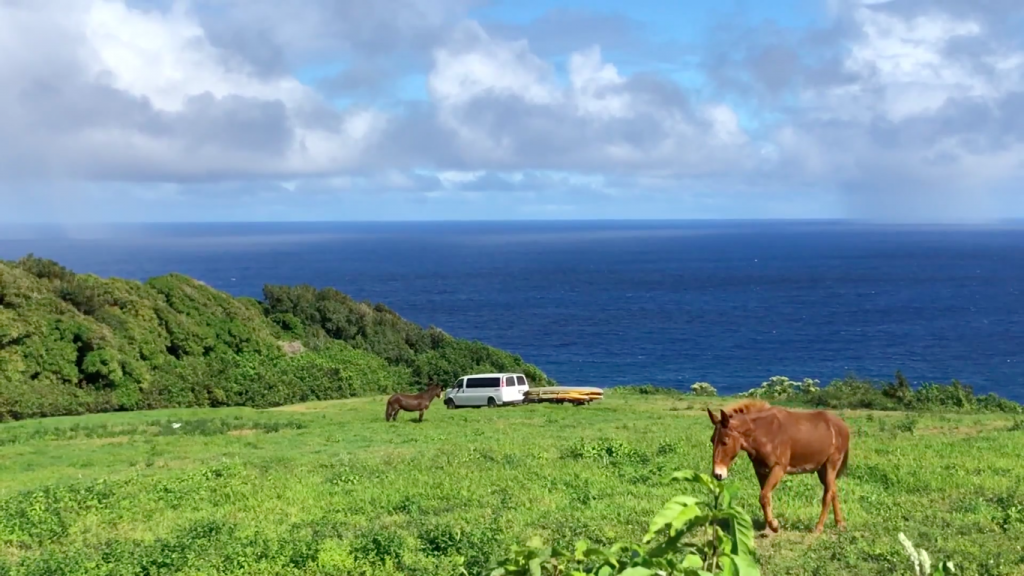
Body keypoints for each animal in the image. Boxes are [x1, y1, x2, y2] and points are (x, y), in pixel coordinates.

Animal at [708, 397, 851, 532]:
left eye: (725, 441)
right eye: (712, 440)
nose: (717, 474)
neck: (764, 432)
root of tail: (843, 426)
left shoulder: (778, 468)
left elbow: (764, 496)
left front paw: (774, 526)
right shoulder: (760, 470)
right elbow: (766, 497)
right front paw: (768, 527)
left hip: (831, 464)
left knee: (828, 494)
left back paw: (819, 527)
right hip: (822, 469)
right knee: (833, 491)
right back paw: (840, 523)